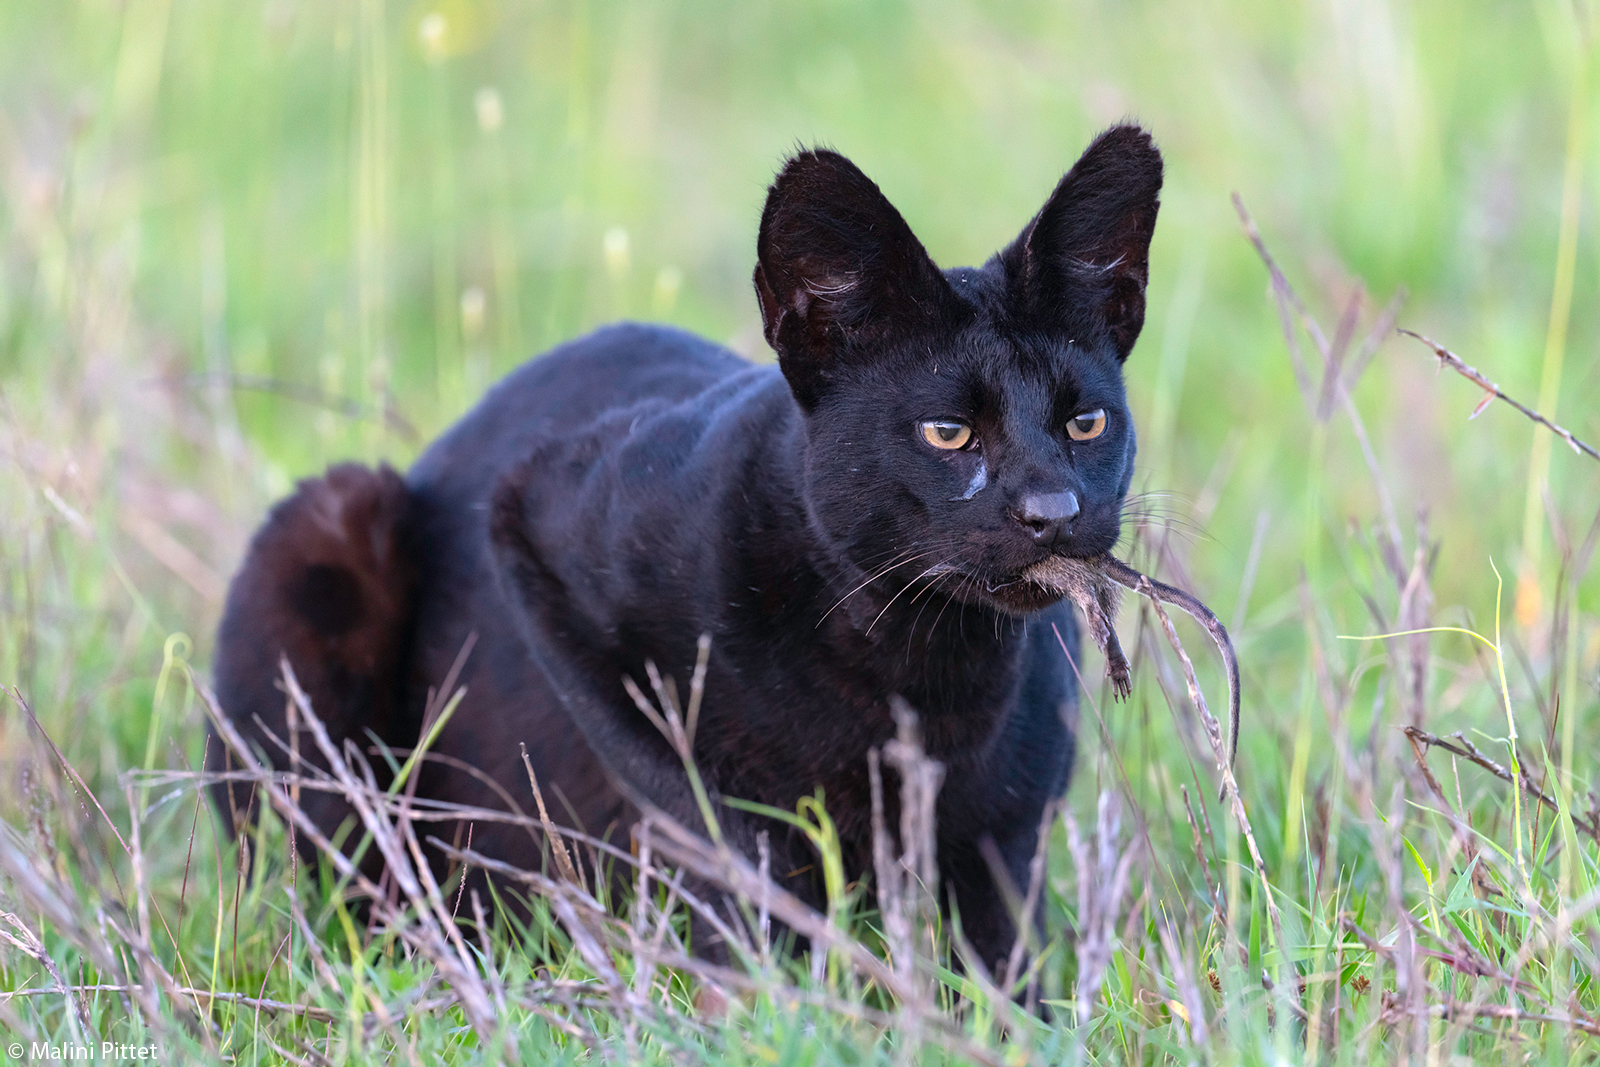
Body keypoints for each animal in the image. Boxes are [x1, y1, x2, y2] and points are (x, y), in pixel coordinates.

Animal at [212, 125, 1164, 979]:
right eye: (948, 433)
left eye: (1086, 422)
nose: (1054, 511)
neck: (910, 658)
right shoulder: (538, 530)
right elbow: (705, 815)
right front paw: (777, 996)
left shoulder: (1011, 825)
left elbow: (1002, 956)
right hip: (331, 524)